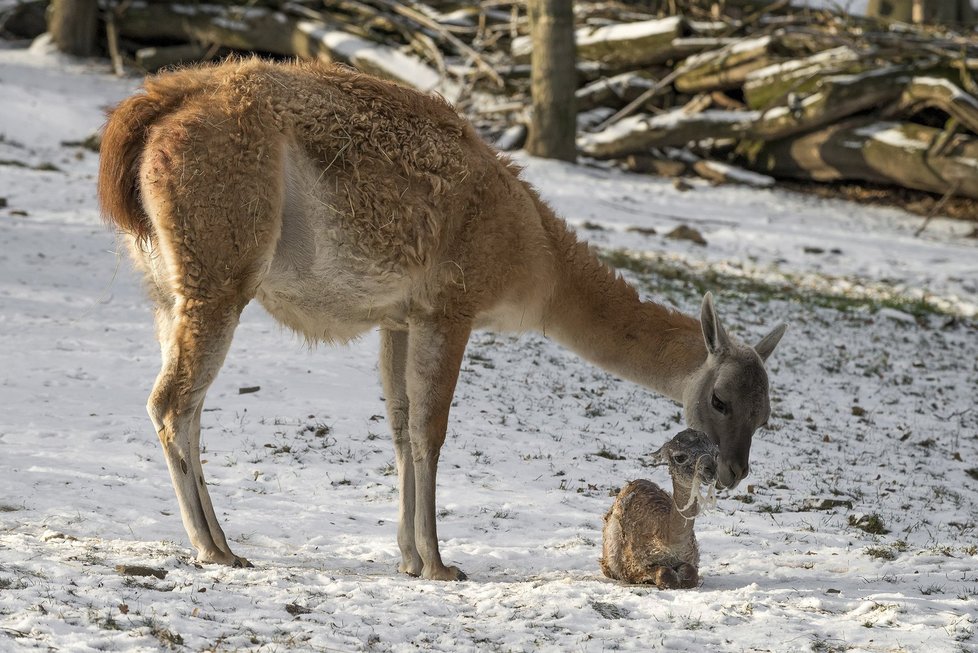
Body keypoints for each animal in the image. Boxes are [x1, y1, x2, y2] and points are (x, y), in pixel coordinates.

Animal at [596, 428, 716, 584]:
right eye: (680, 457)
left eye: (715, 453)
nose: (711, 469)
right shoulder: (633, 565)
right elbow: (664, 573)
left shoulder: (691, 557)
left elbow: (691, 573)